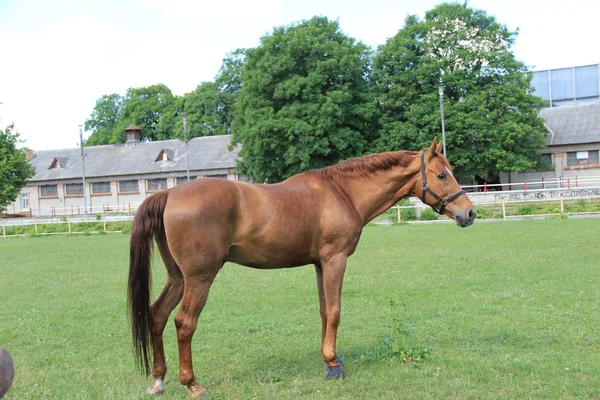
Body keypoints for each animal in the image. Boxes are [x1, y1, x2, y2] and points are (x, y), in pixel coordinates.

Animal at [129, 138, 476, 396]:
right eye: (442, 175)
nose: (469, 213)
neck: (343, 192)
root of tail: (169, 192)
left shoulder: (320, 264)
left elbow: (324, 311)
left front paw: (330, 361)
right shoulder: (335, 260)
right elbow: (335, 310)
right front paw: (333, 365)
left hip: (178, 277)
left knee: (157, 315)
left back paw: (159, 380)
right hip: (200, 277)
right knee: (184, 322)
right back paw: (192, 384)